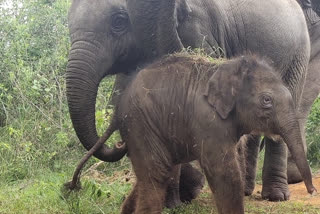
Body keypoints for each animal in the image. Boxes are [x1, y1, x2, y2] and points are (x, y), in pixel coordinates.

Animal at [109, 54, 314, 213]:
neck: (228, 67)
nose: (312, 191)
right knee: (156, 173)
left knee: (154, 172)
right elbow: (225, 173)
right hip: (140, 123)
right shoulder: (209, 121)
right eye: (266, 100)